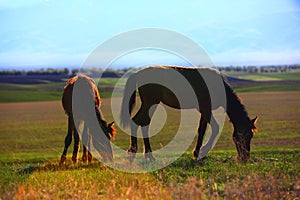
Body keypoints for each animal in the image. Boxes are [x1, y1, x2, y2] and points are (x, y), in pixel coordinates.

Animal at [119, 66, 258, 162]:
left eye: (251, 135)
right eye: (243, 135)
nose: (245, 157)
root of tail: (137, 73)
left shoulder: (204, 110)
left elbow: (202, 130)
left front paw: (197, 153)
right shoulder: (206, 109)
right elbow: (214, 128)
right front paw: (202, 151)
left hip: (151, 104)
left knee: (143, 123)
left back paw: (144, 154)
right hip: (150, 103)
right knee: (139, 122)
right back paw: (139, 153)